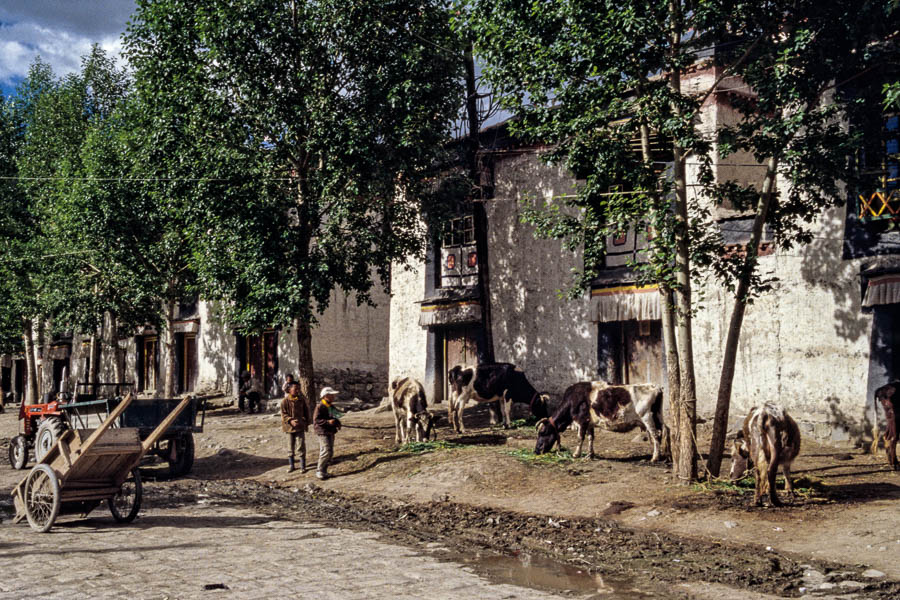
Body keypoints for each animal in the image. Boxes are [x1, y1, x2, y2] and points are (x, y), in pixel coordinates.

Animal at [532, 382, 664, 462]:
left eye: (542, 432)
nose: (536, 451)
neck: (572, 400)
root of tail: (655, 387)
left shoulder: (582, 420)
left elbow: (580, 438)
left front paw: (576, 454)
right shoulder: (589, 423)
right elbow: (591, 438)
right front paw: (590, 454)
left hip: (647, 418)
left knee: (656, 436)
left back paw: (655, 457)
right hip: (658, 417)